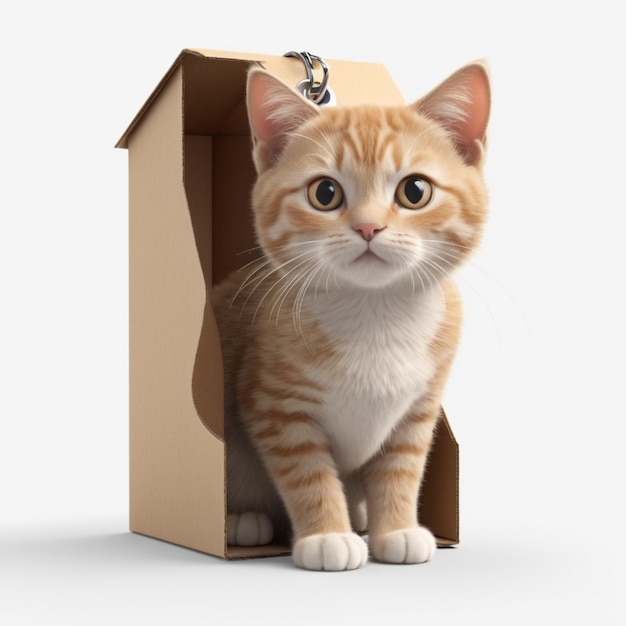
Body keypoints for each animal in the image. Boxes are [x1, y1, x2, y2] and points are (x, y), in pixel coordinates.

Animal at [212, 61, 490, 568]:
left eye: (415, 190)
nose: (368, 226)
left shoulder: (418, 410)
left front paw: (396, 529)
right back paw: (241, 521)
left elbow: (401, 469)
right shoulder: (276, 407)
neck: (374, 312)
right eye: (325, 193)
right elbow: (308, 474)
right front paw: (327, 536)